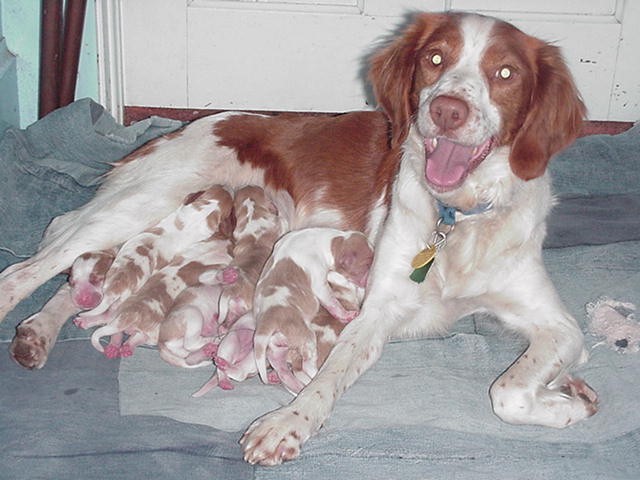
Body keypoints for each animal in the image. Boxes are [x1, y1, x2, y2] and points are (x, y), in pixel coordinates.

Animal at [252, 229, 372, 394]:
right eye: (366, 264)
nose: (367, 281)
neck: (330, 239)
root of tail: (267, 321)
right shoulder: (319, 280)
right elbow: (331, 302)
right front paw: (346, 315)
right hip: (306, 337)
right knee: (307, 365)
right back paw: (315, 375)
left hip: (277, 347)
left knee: (282, 369)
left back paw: (292, 384)